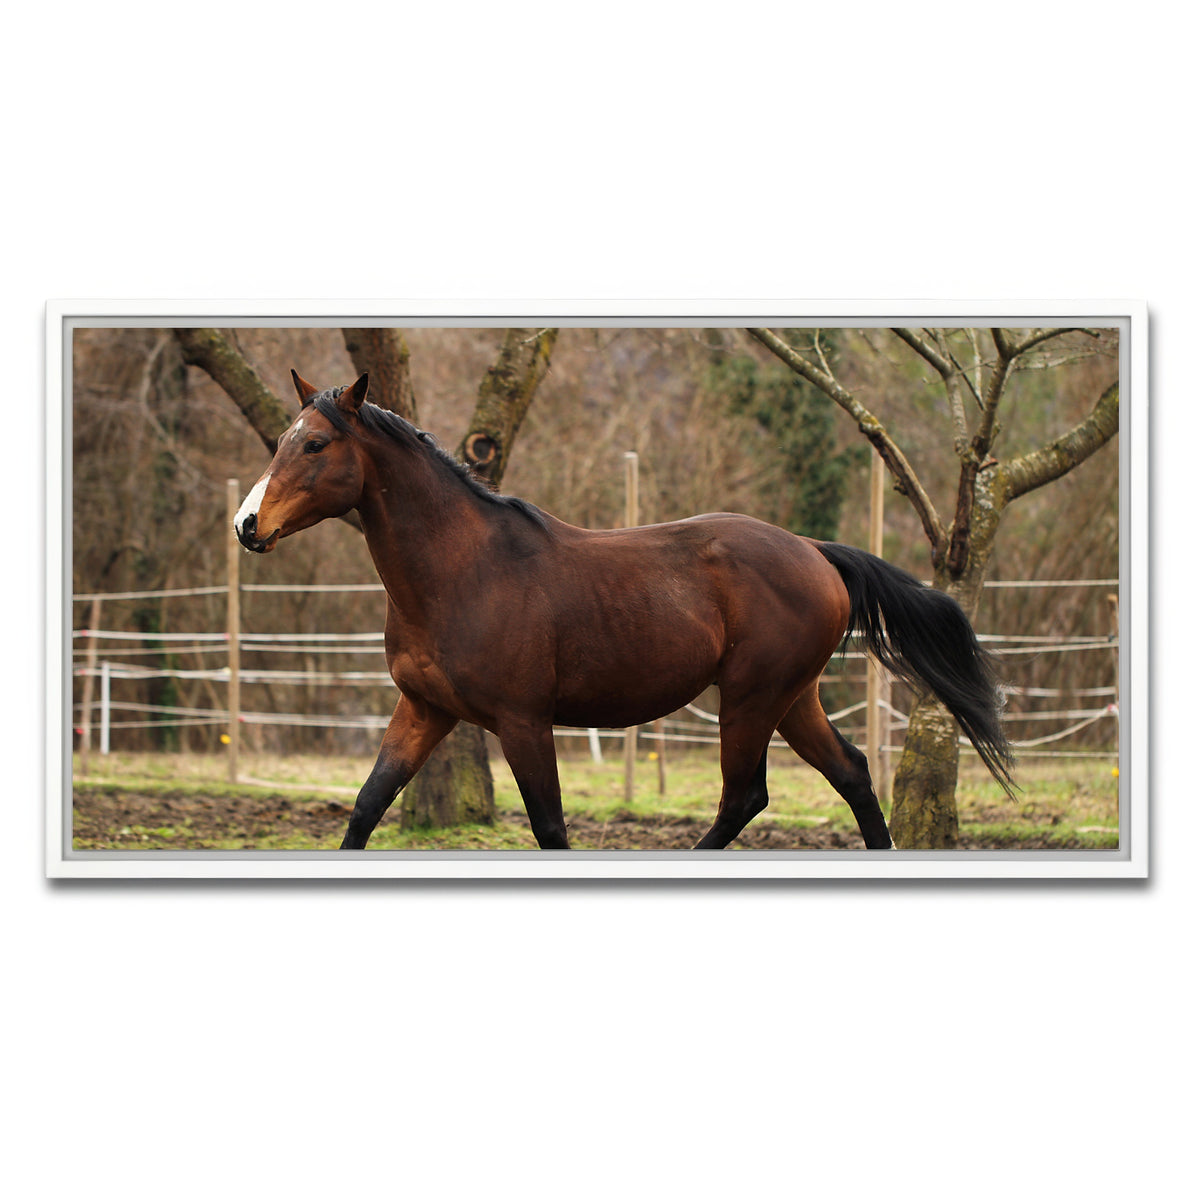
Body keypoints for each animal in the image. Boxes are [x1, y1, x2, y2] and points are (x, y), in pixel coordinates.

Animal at [234, 369, 1013, 851]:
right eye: (279, 441)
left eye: (314, 443)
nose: (246, 525)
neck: (461, 571)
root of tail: (815, 552)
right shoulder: (423, 710)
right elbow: (368, 805)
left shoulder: (523, 722)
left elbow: (550, 826)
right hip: (792, 698)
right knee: (849, 772)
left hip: (751, 698)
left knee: (745, 797)